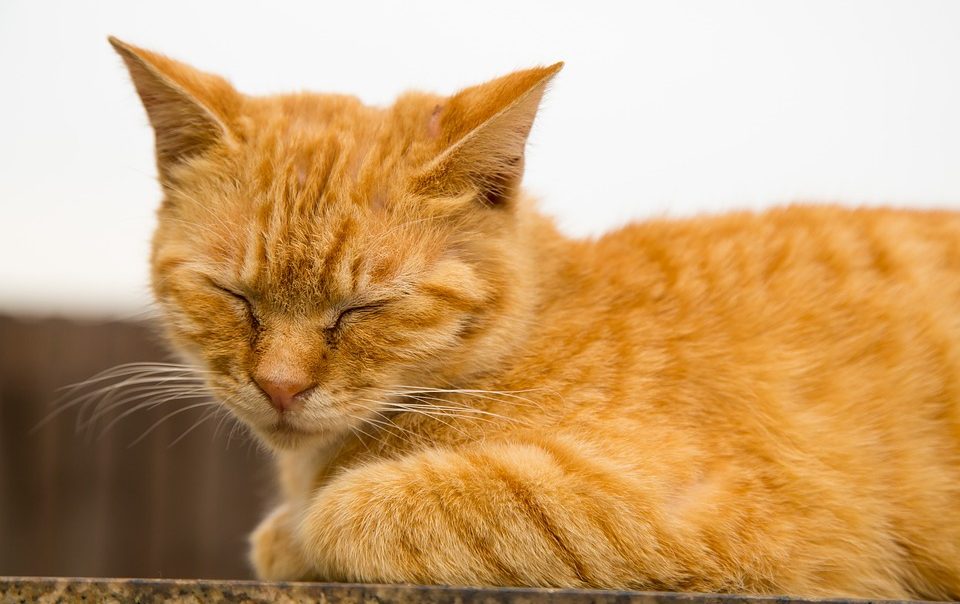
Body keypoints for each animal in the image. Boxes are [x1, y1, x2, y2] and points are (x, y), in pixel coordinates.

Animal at [112, 37, 960, 600]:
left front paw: (298, 530)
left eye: (364, 308)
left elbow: (358, 508)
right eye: (233, 295)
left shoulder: (743, 522)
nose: (280, 387)